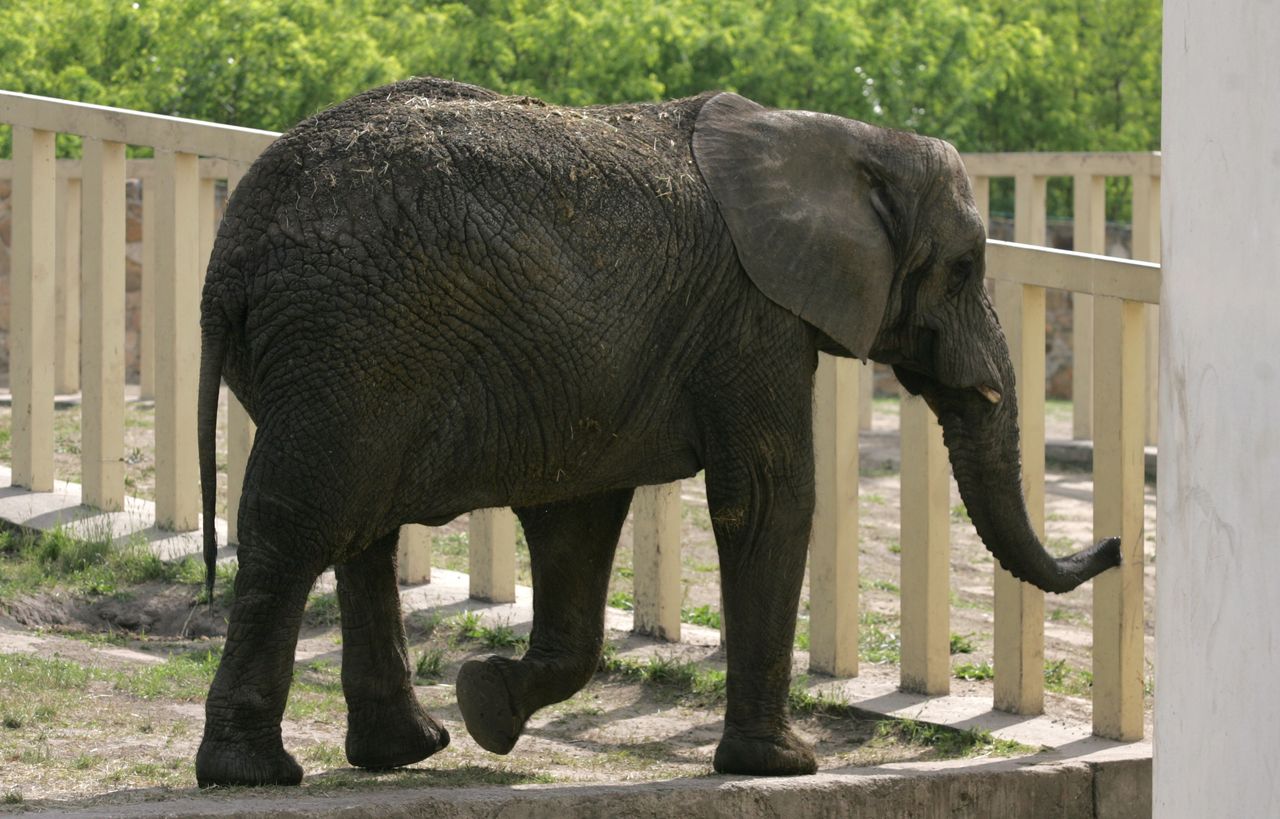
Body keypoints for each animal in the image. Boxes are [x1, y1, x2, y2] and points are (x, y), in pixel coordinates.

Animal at [192, 76, 1121, 788]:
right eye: (963, 269)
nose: (1114, 544)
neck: (838, 139)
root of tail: (228, 258)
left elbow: (578, 520)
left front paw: (488, 703)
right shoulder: (752, 317)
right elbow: (770, 498)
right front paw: (784, 766)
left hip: (349, 355)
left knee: (361, 528)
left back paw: (407, 751)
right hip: (349, 342)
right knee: (298, 526)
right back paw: (252, 773)